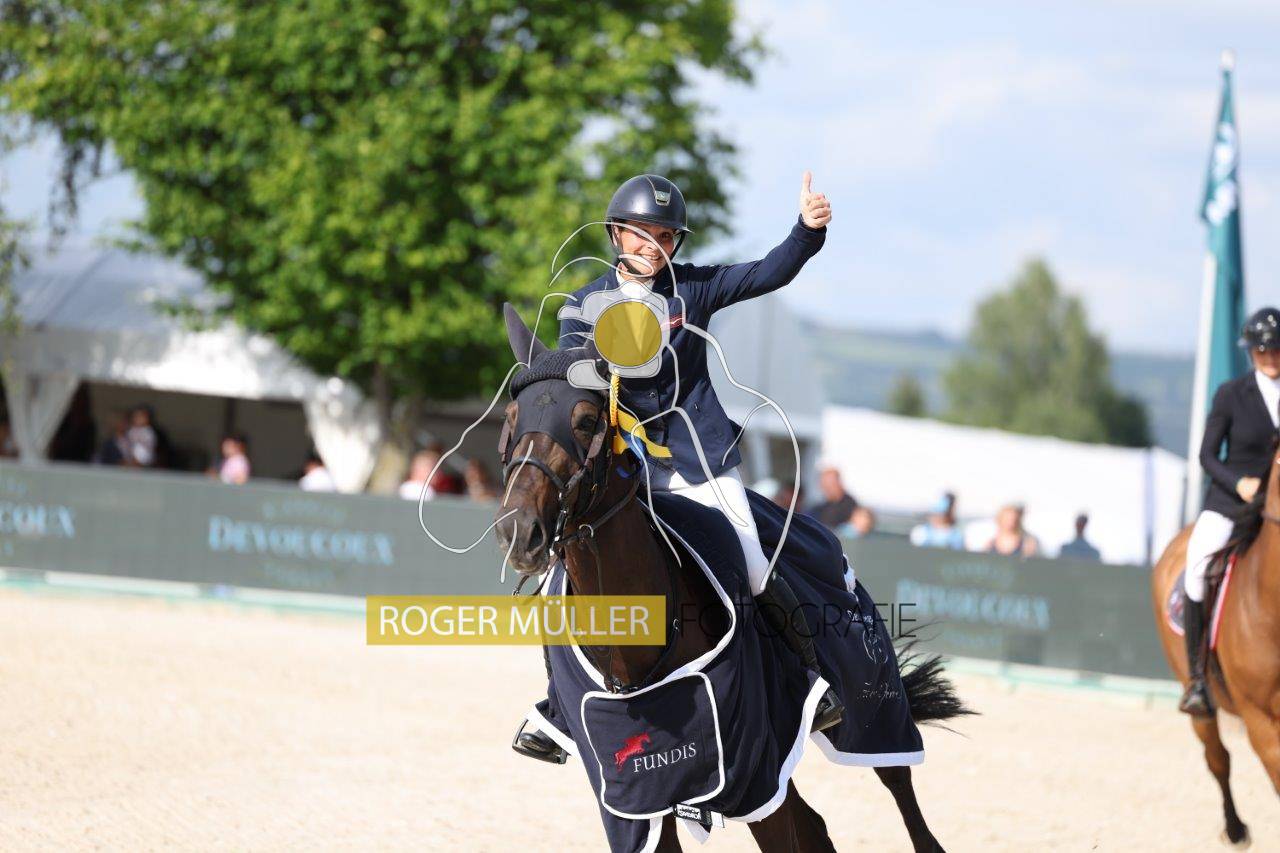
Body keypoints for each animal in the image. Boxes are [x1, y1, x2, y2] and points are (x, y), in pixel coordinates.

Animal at [494, 306, 965, 852]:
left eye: (586, 420)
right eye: (511, 420)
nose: (518, 531)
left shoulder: (752, 771)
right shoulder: (639, 797)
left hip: (872, 707)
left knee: (905, 801)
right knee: (817, 825)